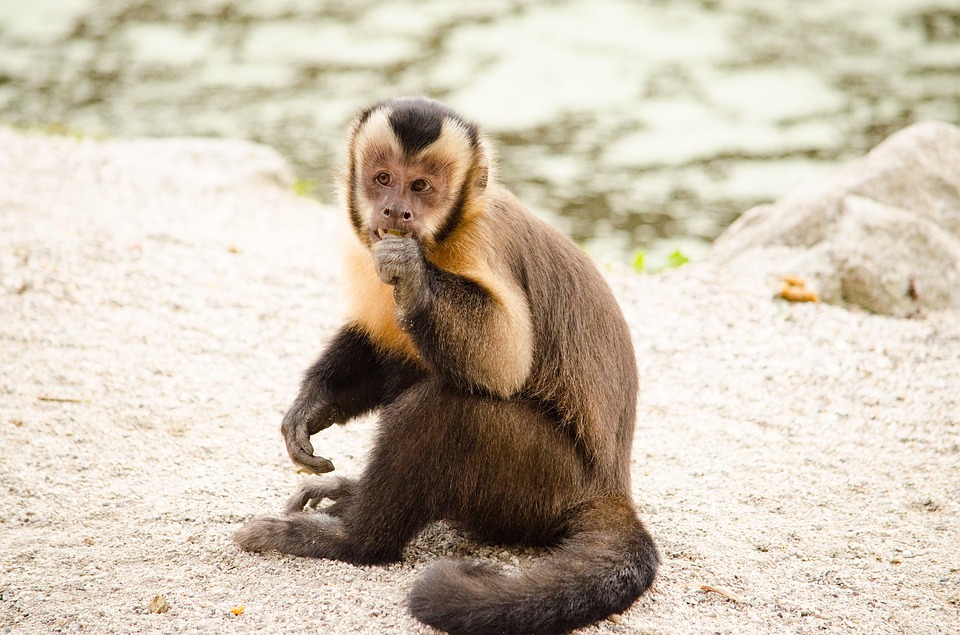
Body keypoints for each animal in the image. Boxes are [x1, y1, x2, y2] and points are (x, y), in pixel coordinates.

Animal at [233, 96, 659, 635]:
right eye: (383, 178)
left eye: (421, 187)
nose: (396, 210)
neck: (439, 239)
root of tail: (613, 488)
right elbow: (382, 348)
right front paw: (311, 405)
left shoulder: (480, 244)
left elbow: (502, 361)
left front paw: (412, 273)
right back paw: (353, 496)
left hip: (544, 484)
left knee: (443, 409)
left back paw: (353, 540)